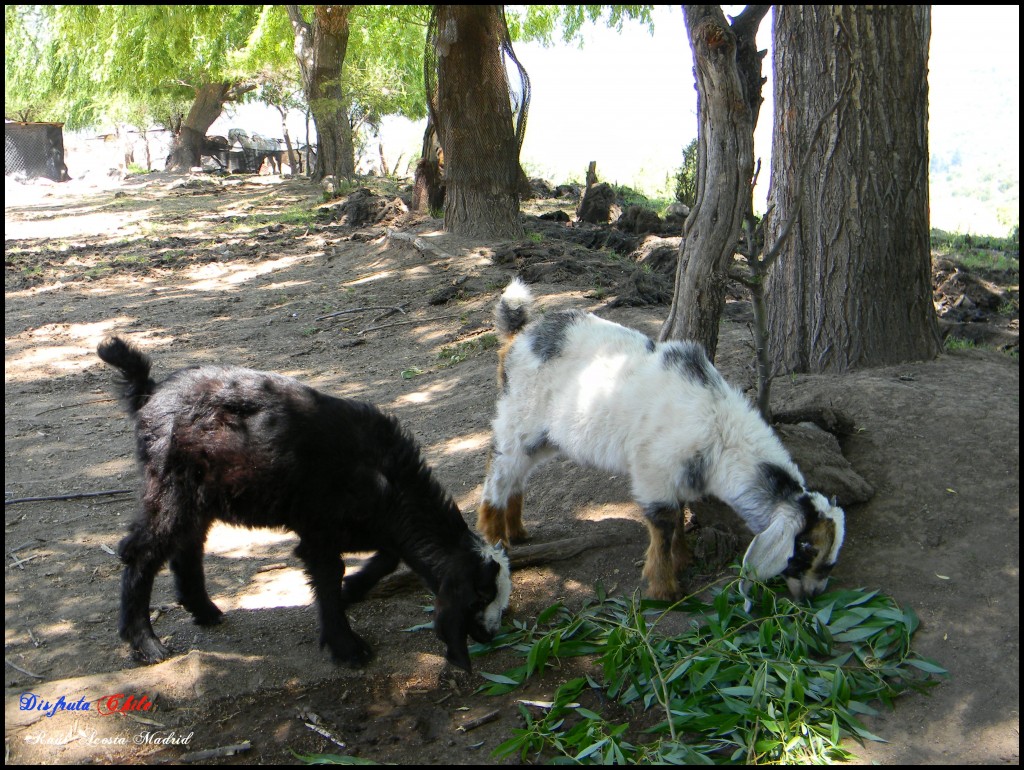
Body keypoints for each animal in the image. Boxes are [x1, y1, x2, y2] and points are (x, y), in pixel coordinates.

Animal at [96, 335, 512, 667]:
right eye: (479, 598)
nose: (492, 635)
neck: (387, 480)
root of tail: (150, 393)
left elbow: (388, 557)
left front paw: (353, 591)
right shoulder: (319, 531)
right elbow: (328, 577)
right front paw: (347, 647)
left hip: (199, 495)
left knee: (187, 544)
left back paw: (204, 610)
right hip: (170, 487)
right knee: (141, 551)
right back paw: (145, 642)